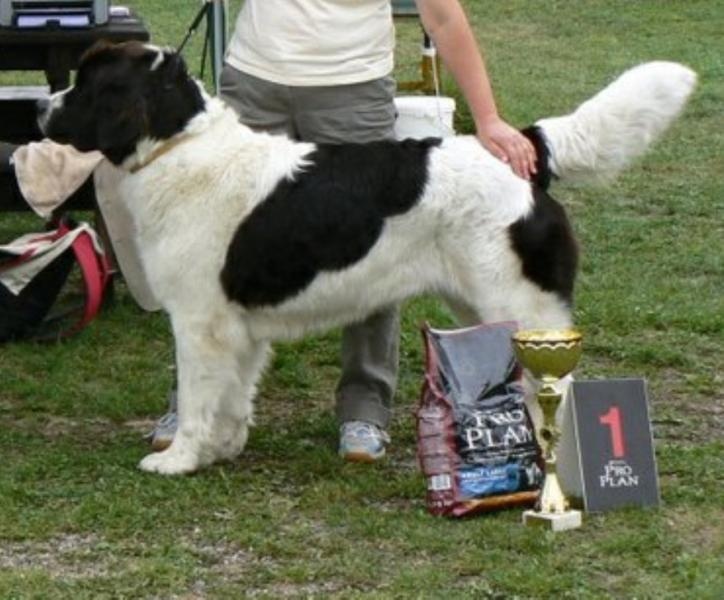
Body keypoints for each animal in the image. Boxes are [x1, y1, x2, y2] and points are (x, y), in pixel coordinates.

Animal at [39, 41, 696, 474]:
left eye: (87, 86)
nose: (43, 108)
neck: (178, 145)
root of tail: (523, 152)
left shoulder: (201, 322)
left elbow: (199, 394)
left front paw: (179, 458)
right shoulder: (236, 328)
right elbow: (233, 395)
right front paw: (222, 448)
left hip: (521, 307)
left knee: (557, 386)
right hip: (482, 304)